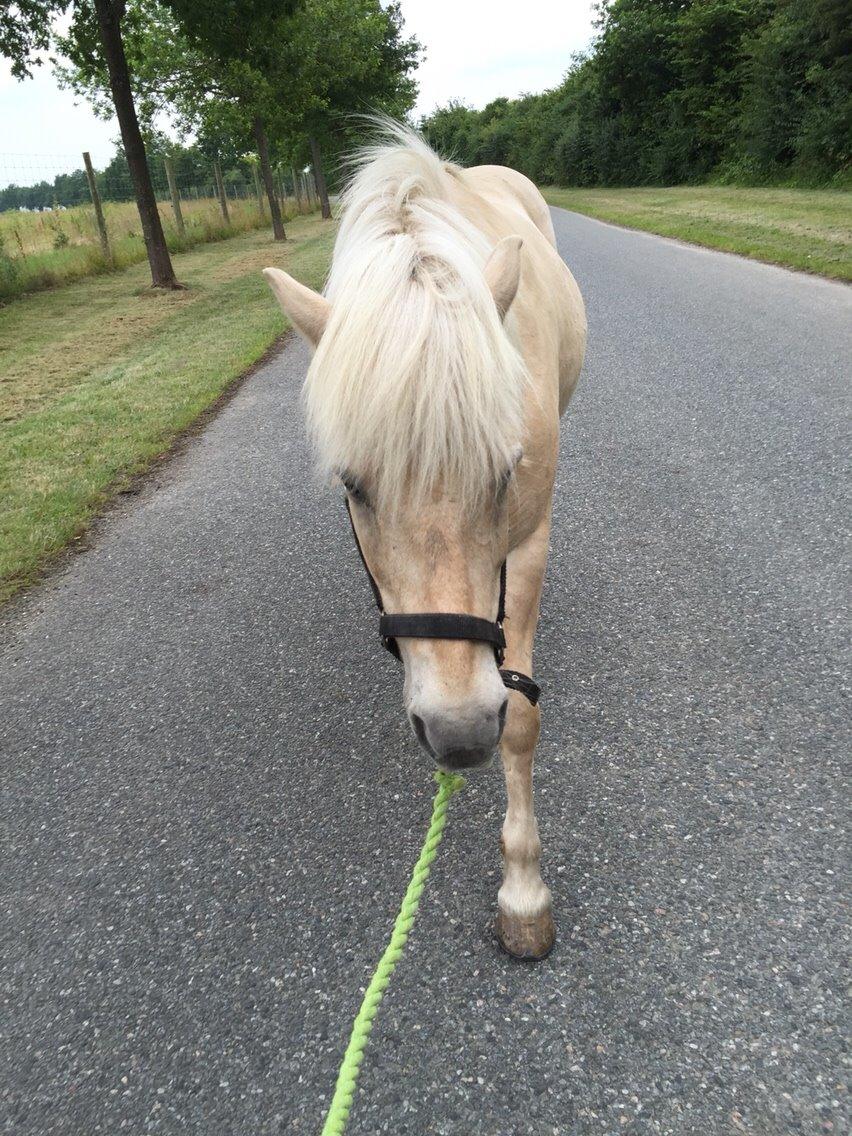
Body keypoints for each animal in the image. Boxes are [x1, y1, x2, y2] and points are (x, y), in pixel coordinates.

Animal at [266, 124, 586, 958]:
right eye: (352, 484)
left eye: (505, 470)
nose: (460, 733)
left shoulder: (528, 541)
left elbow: (523, 719)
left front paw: (523, 891)